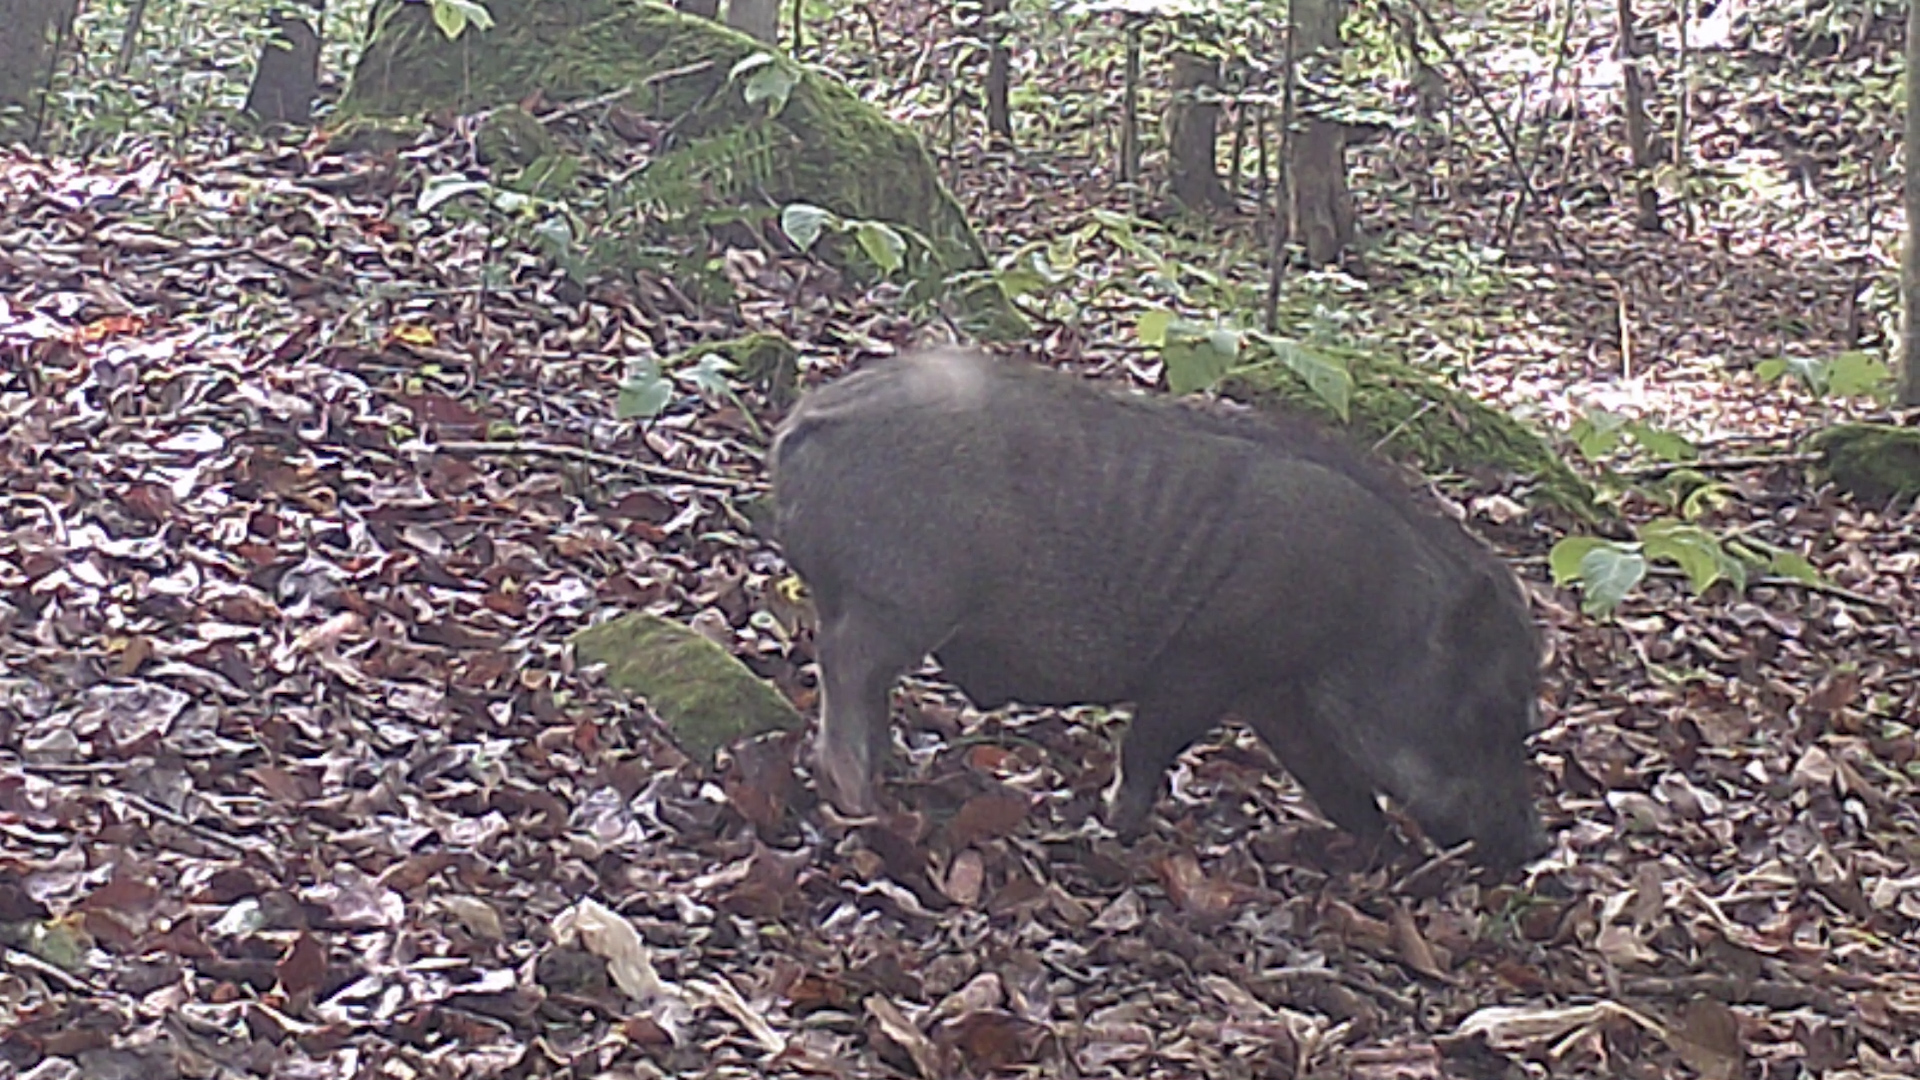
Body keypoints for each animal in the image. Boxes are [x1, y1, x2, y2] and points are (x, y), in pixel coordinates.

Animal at [769, 348, 1547, 870]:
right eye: (1486, 710)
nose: (1537, 848)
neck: (1370, 615)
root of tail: (804, 419)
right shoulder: (1209, 662)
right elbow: (1148, 746)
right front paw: (1116, 831)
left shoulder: (1275, 694)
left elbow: (1333, 779)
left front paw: (1384, 850)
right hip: (899, 602)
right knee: (845, 665)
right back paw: (864, 803)